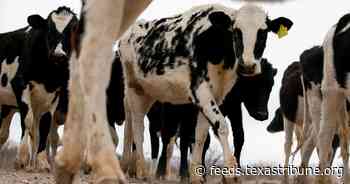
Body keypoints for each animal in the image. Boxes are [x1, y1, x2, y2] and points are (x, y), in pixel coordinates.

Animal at [0, 6, 78, 170]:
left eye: (73, 29)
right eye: (48, 29)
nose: (58, 55)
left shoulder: (55, 93)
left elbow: (45, 126)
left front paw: (42, 162)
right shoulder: (20, 84)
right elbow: (27, 121)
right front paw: (21, 159)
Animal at [115, 3, 292, 183]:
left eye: (263, 33)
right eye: (236, 31)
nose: (248, 66)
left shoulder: (216, 96)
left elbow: (201, 135)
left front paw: (197, 175)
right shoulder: (200, 91)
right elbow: (221, 126)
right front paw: (231, 173)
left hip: (149, 93)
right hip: (134, 87)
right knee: (138, 125)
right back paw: (141, 171)